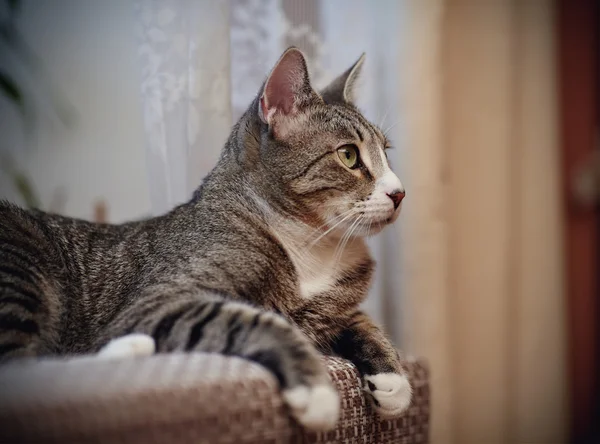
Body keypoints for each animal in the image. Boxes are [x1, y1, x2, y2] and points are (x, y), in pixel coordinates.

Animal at [0, 47, 408, 430]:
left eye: (386, 155)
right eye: (349, 155)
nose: (400, 192)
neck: (313, 247)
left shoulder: (336, 308)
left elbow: (364, 323)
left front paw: (394, 381)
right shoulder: (158, 301)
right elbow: (257, 321)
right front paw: (316, 390)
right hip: (22, 269)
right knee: (24, 367)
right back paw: (129, 348)